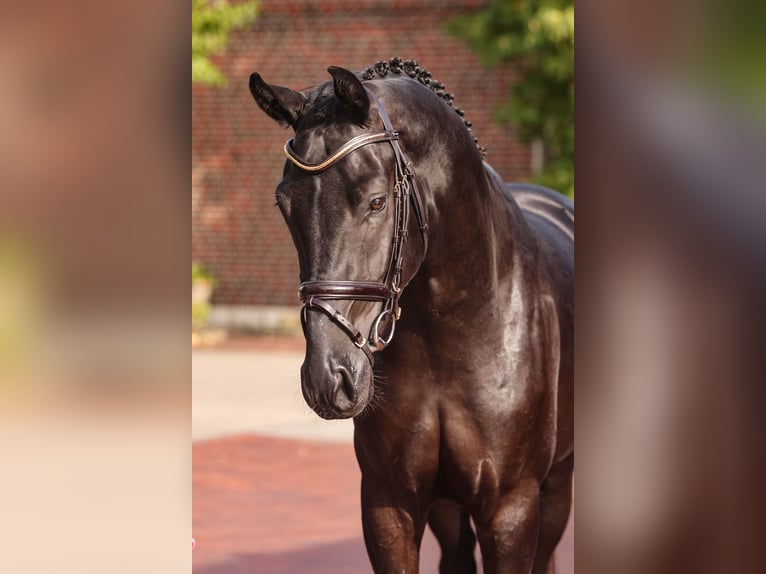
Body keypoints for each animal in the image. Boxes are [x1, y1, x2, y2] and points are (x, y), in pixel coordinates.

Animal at [249, 59, 572, 574]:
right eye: (284, 204)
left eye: (377, 201)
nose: (328, 378)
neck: (454, 330)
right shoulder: (390, 501)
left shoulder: (511, 508)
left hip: (555, 489)